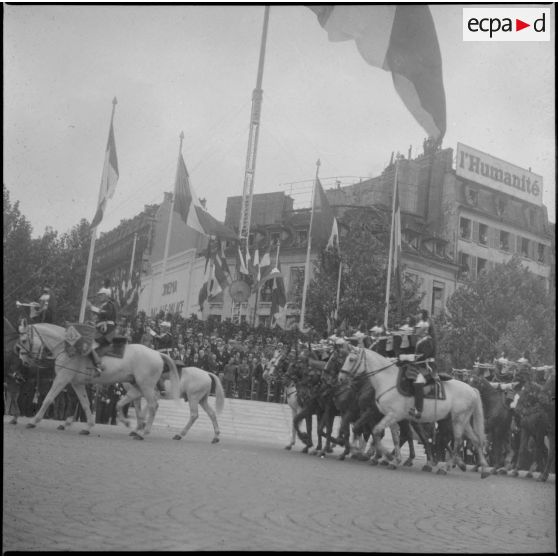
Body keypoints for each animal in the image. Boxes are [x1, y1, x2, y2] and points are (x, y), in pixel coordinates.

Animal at [17, 324, 180, 442]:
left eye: (24, 340)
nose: (24, 361)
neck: (68, 348)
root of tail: (157, 353)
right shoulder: (76, 383)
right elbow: (85, 403)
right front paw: (88, 426)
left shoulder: (62, 378)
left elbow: (48, 398)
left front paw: (33, 421)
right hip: (137, 384)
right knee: (136, 401)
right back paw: (135, 426)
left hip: (146, 385)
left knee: (153, 405)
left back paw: (143, 433)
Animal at [342, 348, 490, 480]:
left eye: (351, 359)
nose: (341, 377)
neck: (387, 381)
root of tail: (471, 388)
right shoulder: (393, 417)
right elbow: (394, 437)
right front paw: (394, 459)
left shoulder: (392, 415)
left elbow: (377, 431)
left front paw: (387, 456)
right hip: (463, 421)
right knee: (475, 440)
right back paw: (483, 469)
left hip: (457, 420)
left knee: (458, 441)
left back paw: (445, 468)